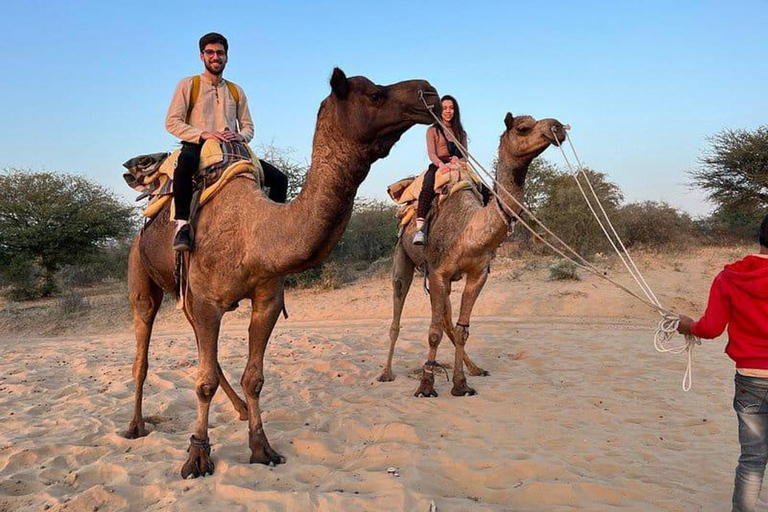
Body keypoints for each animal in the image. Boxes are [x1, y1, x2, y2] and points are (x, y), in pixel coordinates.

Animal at [126, 67, 438, 476]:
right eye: (374, 94)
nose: (429, 92)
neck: (252, 231)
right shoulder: (209, 301)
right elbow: (203, 382)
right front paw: (197, 457)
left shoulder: (266, 298)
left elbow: (254, 378)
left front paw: (262, 448)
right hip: (141, 273)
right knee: (144, 352)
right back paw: (135, 426)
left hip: (188, 297)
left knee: (204, 351)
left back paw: (241, 411)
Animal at [378, 114, 564, 398]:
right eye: (523, 127)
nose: (557, 127)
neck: (468, 229)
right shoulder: (438, 272)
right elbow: (433, 332)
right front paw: (426, 386)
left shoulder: (476, 274)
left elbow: (460, 329)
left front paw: (461, 384)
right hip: (403, 255)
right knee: (398, 311)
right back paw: (386, 373)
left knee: (447, 321)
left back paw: (475, 368)